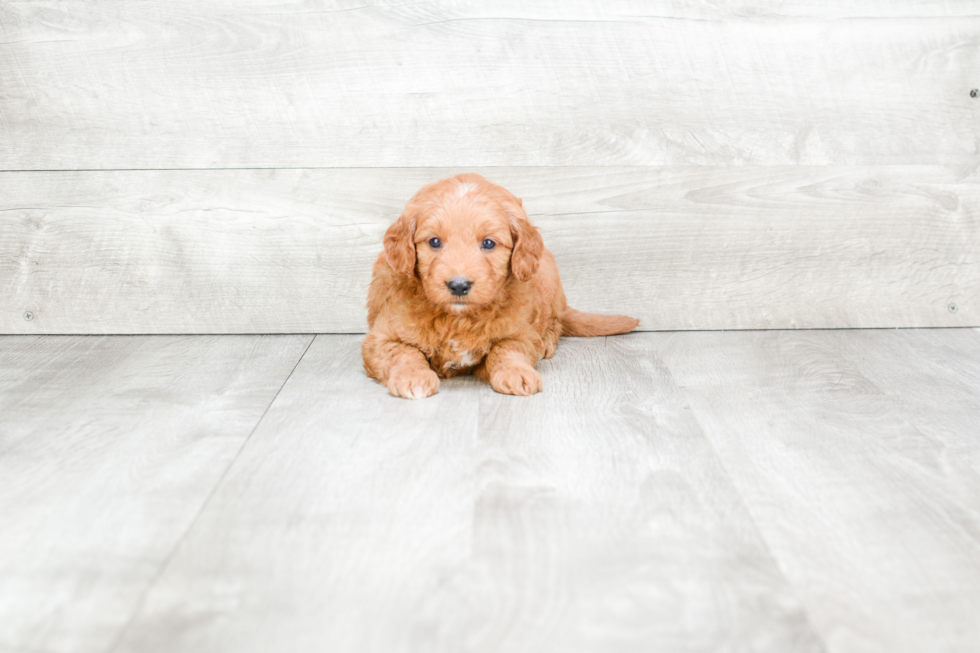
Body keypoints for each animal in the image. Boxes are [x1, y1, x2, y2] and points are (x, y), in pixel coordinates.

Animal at [364, 173, 640, 398]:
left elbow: (507, 349)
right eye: (434, 241)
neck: (458, 319)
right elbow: (402, 353)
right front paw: (413, 376)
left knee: (555, 321)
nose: (459, 285)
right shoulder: (380, 338)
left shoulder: (521, 333)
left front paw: (516, 373)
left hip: (550, 278)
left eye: (488, 243)